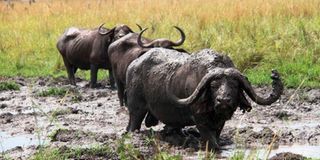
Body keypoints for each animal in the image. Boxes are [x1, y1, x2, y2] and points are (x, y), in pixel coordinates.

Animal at [125, 48, 282, 149]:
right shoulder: (200, 120)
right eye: (213, 86)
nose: (223, 100)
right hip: (136, 108)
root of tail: (133, 65)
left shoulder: (220, 123)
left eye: (234, 85)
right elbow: (211, 142)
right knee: (134, 122)